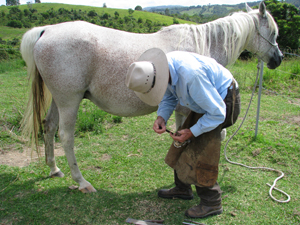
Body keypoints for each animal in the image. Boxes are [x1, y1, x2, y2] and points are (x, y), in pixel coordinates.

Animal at [20, 1, 282, 192]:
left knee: (49, 127)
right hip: (69, 101)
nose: (278, 59)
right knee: (65, 136)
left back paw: (54, 169)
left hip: (59, 100)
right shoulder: (187, 110)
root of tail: (46, 30)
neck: (204, 45)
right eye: (272, 32)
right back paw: (82, 182)